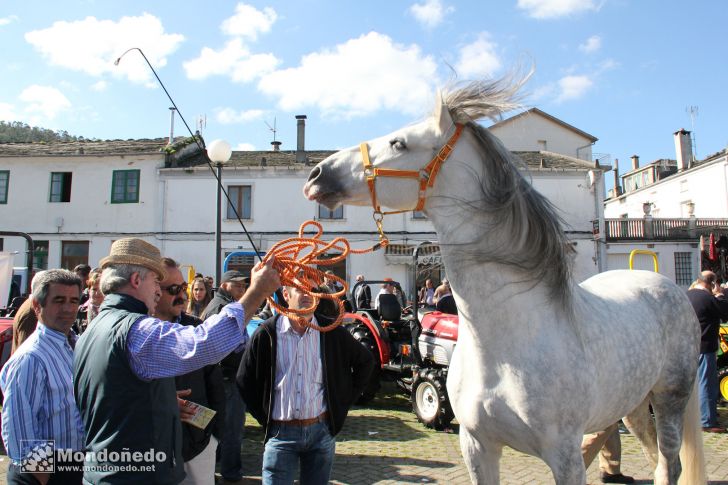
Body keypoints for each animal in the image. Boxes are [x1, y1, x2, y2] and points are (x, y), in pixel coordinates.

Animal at [304, 77, 708, 482]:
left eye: (399, 143)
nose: (316, 174)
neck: (502, 341)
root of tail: (667, 286)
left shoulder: (565, 455)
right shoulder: (476, 444)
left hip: (669, 398)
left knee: (668, 461)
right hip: (633, 403)